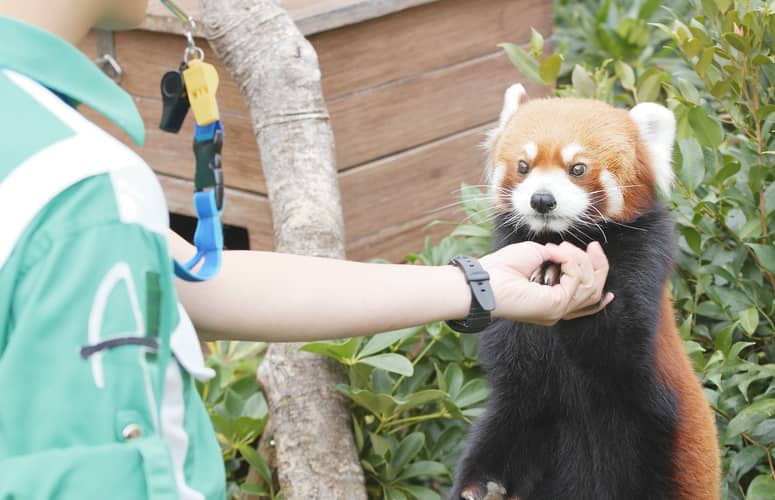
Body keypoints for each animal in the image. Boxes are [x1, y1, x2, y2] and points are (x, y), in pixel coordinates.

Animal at [452, 86, 724, 500]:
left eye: (577, 168)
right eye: (523, 166)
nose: (542, 200)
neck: (562, 239)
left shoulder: (644, 263)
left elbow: (622, 347)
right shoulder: (517, 358)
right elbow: (517, 396)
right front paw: (481, 484)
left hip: (666, 452)